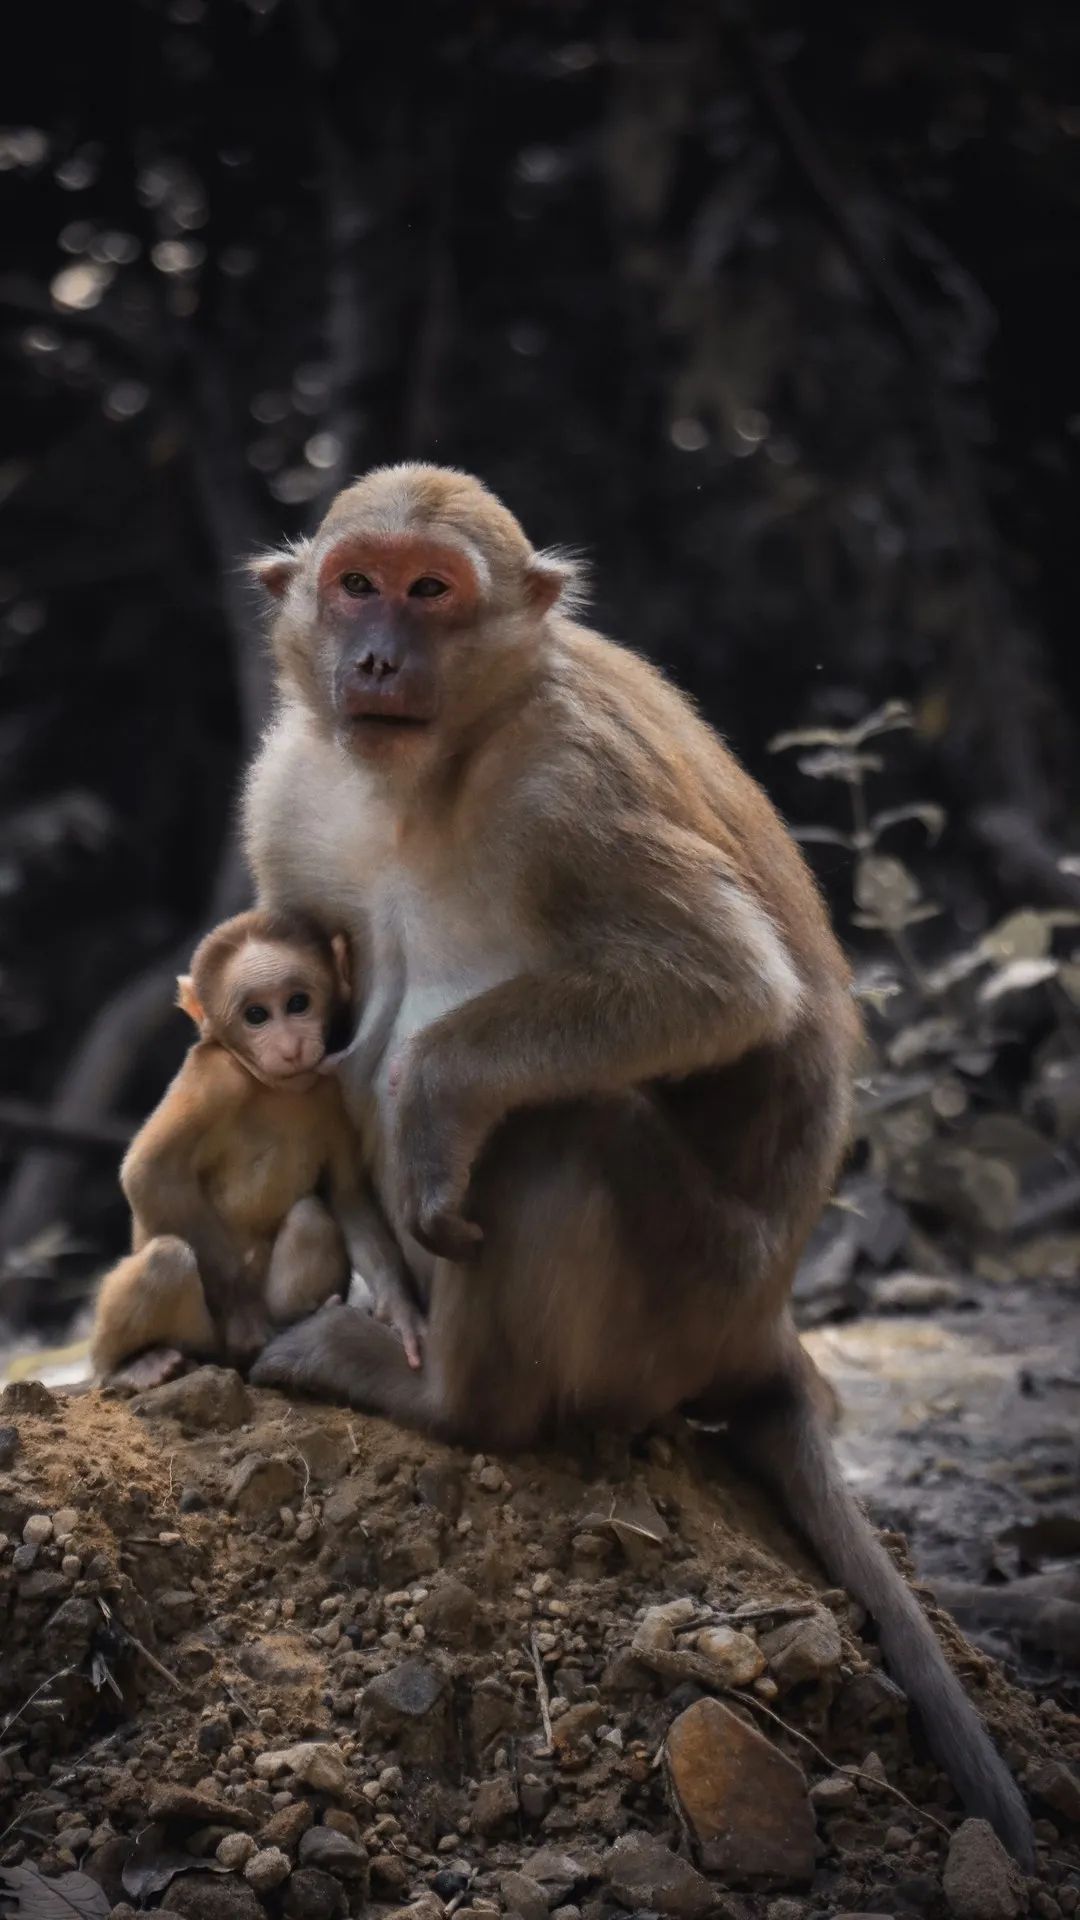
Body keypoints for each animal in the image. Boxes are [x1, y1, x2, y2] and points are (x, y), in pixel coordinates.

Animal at [91, 907, 421, 1390]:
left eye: (298, 1004)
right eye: (256, 1015)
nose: (290, 1046)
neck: (272, 1087)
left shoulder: (334, 1092)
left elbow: (347, 1196)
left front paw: (400, 1313)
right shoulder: (214, 1078)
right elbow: (148, 1171)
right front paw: (244, 1317)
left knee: (311, 1216)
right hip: (202, 1340)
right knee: (167, 1259)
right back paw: (134, 1364)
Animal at [242, 464, 1033, 1865]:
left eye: (430, 589)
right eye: (355, 584)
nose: (377, 654)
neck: (428, 777)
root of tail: (769, 1323)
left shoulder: (572, 784)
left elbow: (720, 982)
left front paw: (431, 1096)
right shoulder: (291, 790)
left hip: (673, 1298)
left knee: (561, 1125)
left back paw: (449, 1399)